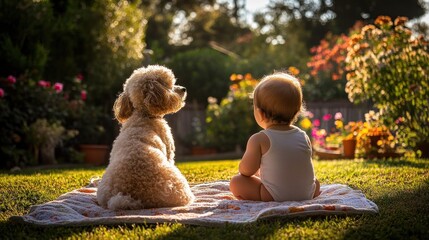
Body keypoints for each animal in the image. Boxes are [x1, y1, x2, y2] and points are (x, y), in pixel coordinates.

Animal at [96, 64, 194, 209]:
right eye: (170, 85)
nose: (184, 89)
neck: (144, 114)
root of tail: (126, 195)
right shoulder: (169, 152)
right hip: (177, 186)